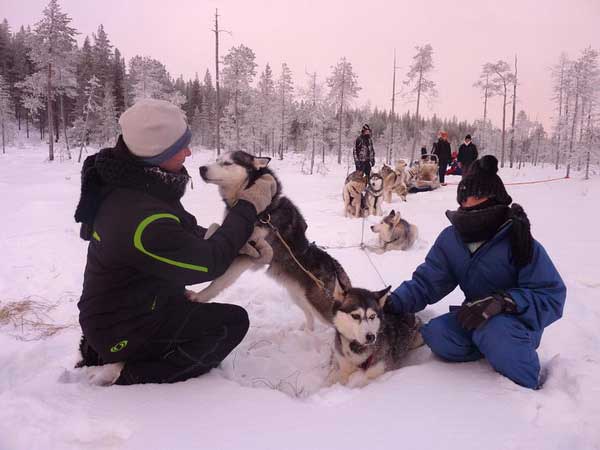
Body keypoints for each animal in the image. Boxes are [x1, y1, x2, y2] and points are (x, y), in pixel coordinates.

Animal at [191, 151, 352, 330]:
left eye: (227, 163)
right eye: (217, 160)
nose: (202, 168)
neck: (262, 211)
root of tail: (335, 267)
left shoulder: (253, 254)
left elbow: (220, 280)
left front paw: (199, 296)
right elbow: (214, 227)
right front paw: (207, 240)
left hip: (319, 305)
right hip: (298, 296)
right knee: (310, 315)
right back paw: (307, 331)